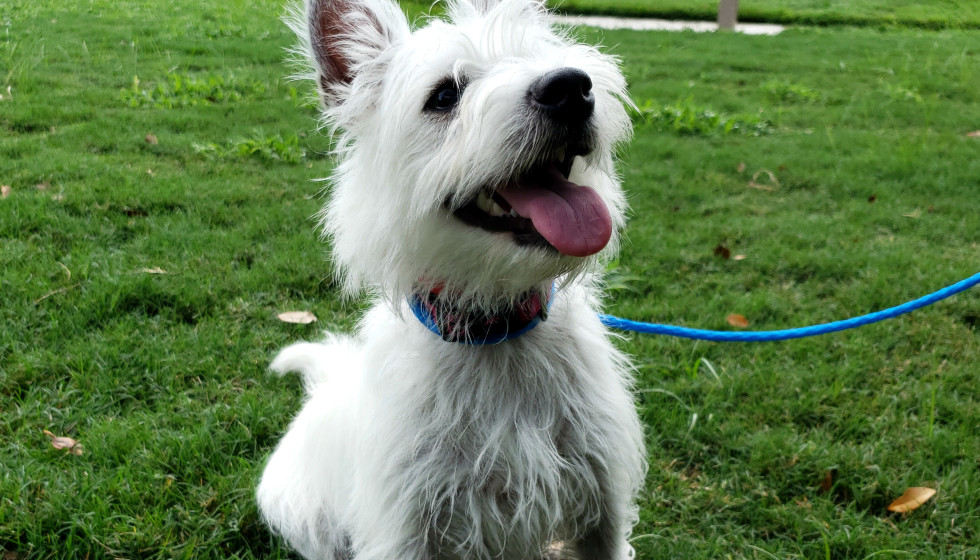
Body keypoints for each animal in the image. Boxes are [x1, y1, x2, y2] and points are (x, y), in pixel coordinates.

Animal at [256, 0, 648, 556]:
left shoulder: (603, 504)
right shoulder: (406, 526)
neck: (497, 331)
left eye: (539, 56)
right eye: (444, 95)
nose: (572, 87)